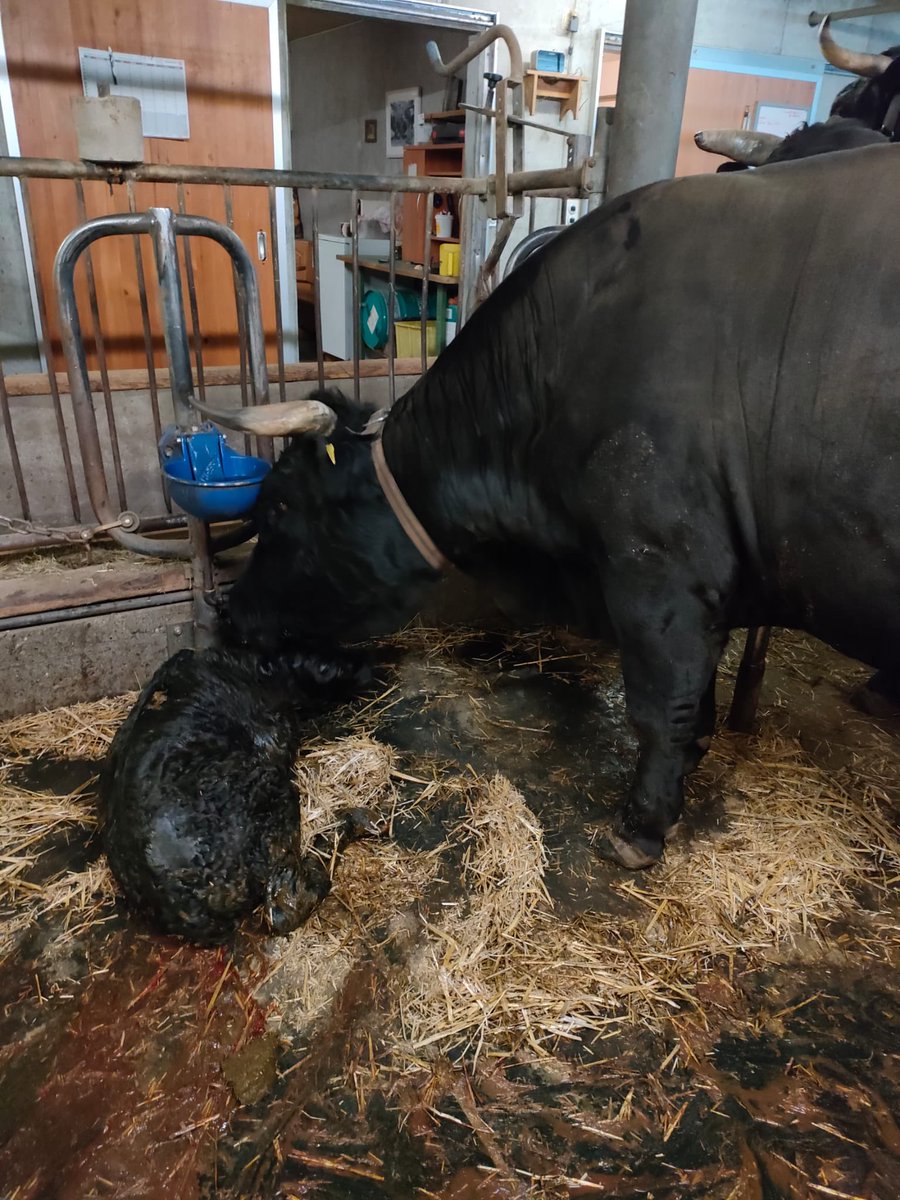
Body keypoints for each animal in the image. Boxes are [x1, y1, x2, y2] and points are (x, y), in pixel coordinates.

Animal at [222, 142, 900, 872]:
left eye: (278, 509)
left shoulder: (661, 571)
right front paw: (691, 763)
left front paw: (643, 825)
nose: (228, 612)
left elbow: (662, 703)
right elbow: (697, 699)